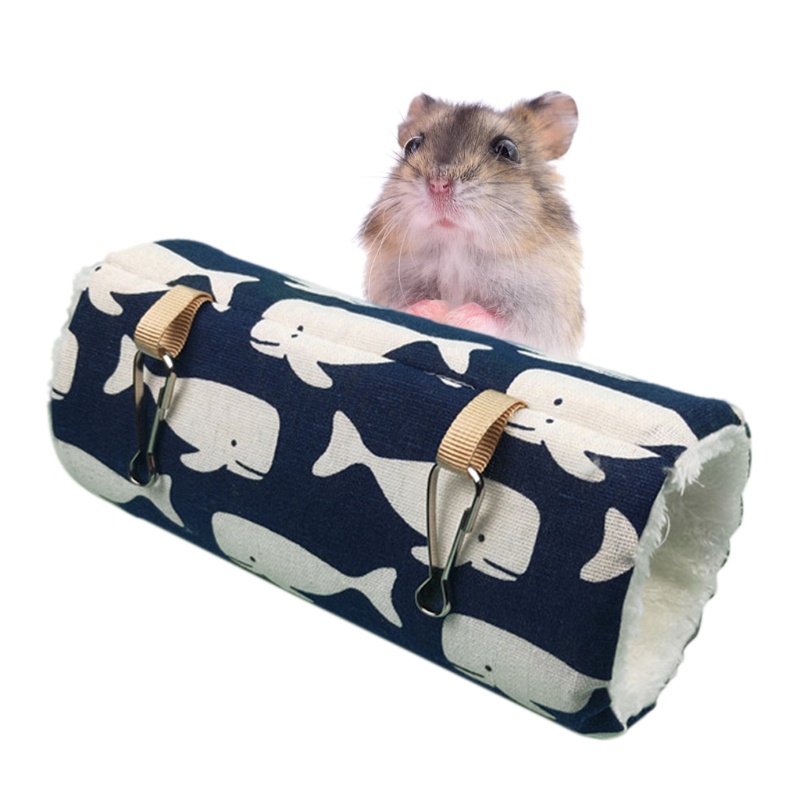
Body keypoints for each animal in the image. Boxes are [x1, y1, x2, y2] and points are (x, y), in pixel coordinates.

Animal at [361, 92, 583, 358]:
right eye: (411, 145)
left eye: (507, 150)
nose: (438, 184)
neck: (456, 245)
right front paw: (435, 309)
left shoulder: (543, 320)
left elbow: (501, 323)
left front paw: (456, 316)